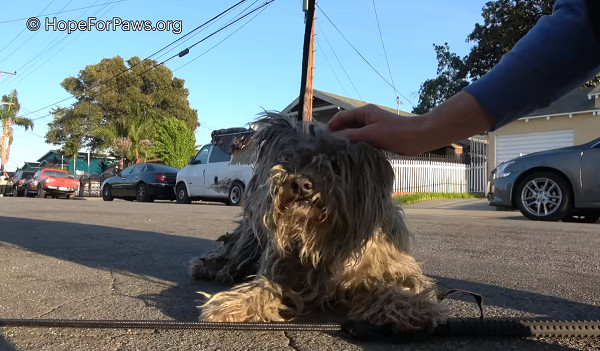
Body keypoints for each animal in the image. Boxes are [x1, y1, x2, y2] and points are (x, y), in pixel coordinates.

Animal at [190, 111, 448, 332]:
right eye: (287, 158)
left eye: (334, 164)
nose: (301, 184)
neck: (321, 234)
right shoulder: (281, 269)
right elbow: (263, 286)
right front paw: (234, 304)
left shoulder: (393, 265)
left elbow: (400, 285)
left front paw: (410, 305)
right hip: (250, 239)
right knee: (232, 251)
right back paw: (210, 266)